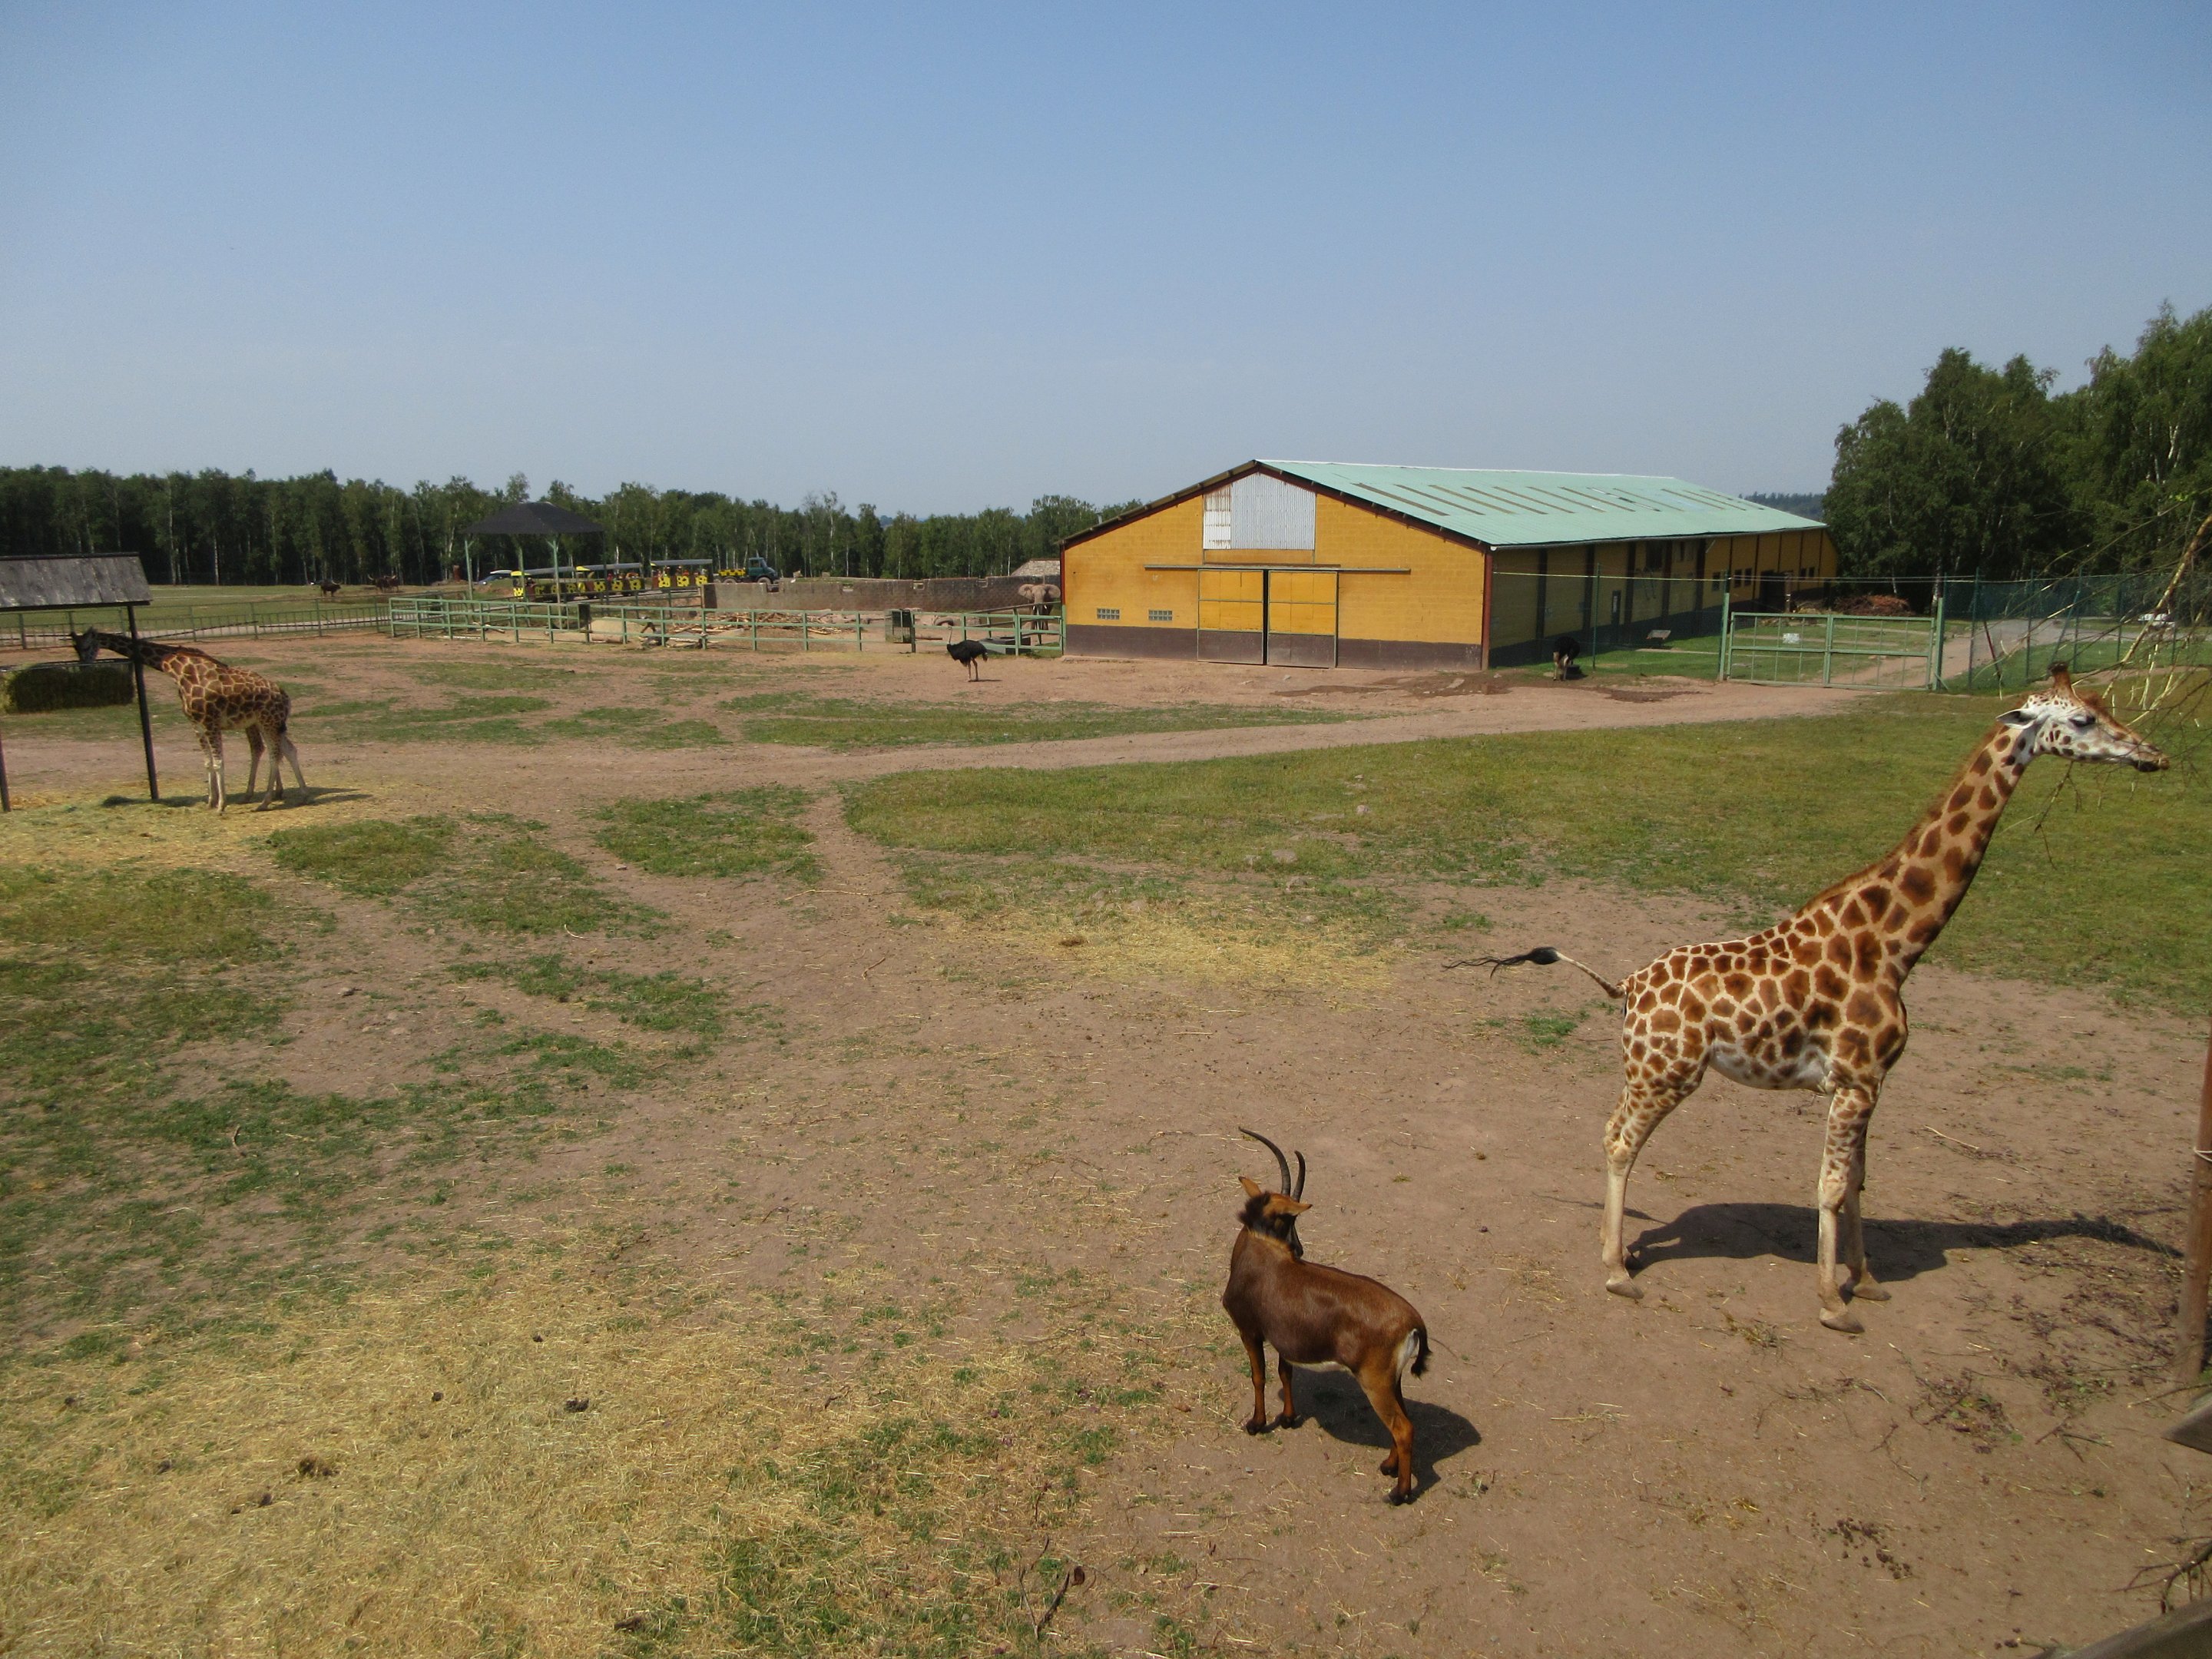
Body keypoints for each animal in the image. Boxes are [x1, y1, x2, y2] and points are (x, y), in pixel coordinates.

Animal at [72, 630, 306, 813]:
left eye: (88, 646)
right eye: (75, 647)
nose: (84, 666)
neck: (176, 669)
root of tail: (285, 696)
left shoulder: (210, 723)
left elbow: (219, 762)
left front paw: (221, 805)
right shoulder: (196, 725)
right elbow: (207, 762)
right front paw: (210, 801)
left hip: (266, 722)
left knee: (272, 754)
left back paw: (265, 800)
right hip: (268, 724)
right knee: (283, 750)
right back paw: (295, 792)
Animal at [1221, 1130, 1432, 1504]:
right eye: (1287, 1220)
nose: (1299, 1249)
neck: (1261, 1253)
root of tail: (1413, 1321)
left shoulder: (1250, 1331)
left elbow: (1259, 1377)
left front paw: (1257, 1424)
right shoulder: (1285, 1341)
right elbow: (1285, 1373)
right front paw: (1288, 1418)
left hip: (1375, 1382)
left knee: (1402, 1427)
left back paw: (1399, 1493)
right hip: (1393, 1381)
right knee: (1405, 1419)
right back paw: (1389, 1467)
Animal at [1478, 666, 2168, 1332]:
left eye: (2104, 707)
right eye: (2082, 720)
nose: (2153, 755)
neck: (1894, 944)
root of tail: (1626, 986)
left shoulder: (1865, 1083)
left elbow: (1859, 1179)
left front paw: (1868, 1281)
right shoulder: (1859, 1079)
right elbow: (1833, 1186)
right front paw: (1834, 1303)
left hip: (1647, 1071)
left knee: (1609, 1131)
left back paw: (1612, 1250)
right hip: (1668, 1074)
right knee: (1623, 1141)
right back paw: (1620, 1273)